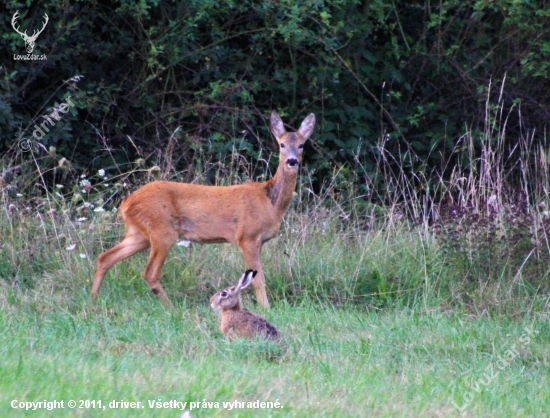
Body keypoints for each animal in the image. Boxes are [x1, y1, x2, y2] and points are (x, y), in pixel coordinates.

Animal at [90, 111, 314, 306]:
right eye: (282, 144)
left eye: (301, 145)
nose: (292, 161)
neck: (270, 200)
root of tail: (126, 202)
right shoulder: (247, 237)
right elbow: (259, 278)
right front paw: (265, 307)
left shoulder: (259, 241)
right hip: (162, 230)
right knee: (149, 272)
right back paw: (171, 307)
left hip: (139, 233)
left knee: (105, 257)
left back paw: (93, 300)